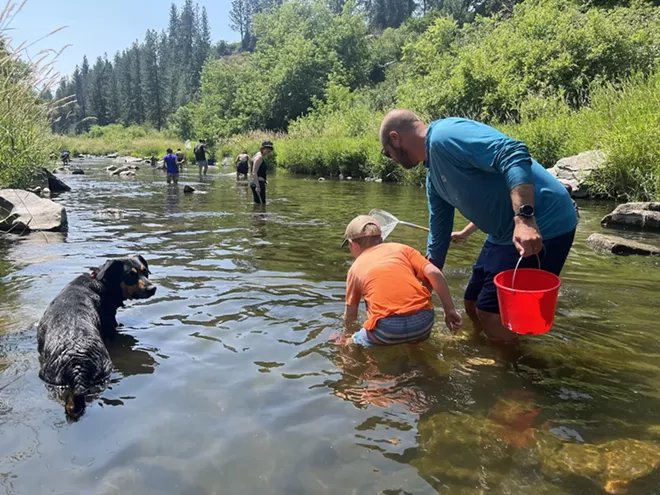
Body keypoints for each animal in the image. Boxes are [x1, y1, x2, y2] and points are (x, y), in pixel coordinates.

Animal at [37, 258, 157, 420]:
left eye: (145, 272)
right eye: (130, 275)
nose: (153, 288)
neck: (102, 282)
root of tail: (77, 370)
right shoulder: (111, 327)